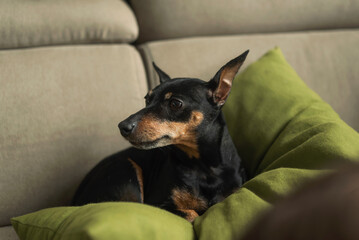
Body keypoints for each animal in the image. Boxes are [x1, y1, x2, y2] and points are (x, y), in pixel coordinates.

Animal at [73, 49, 250, 222]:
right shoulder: (157, 205)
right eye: (147, 99)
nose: (122, 126)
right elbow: (193, 213)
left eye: (175, 103)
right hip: (126, 169)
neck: (203, 167)